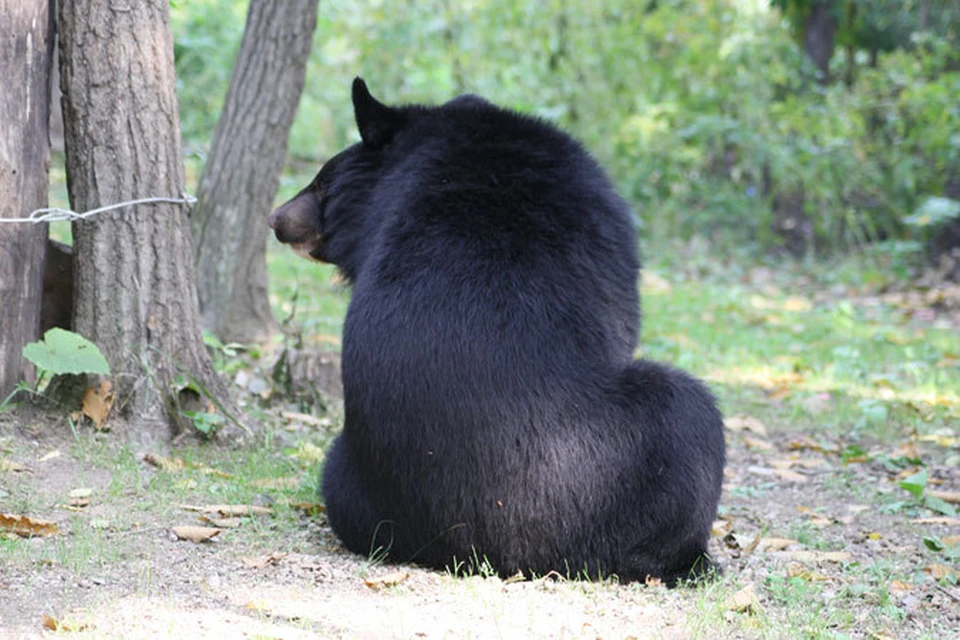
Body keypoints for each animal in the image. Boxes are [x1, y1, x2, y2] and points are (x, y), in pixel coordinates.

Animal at [266, 80, 724, 584]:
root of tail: (482, 548)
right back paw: (691, 557)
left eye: (321, 181)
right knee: (691, 414)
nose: (276, 219)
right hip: (634, 455)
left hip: (346, 481)